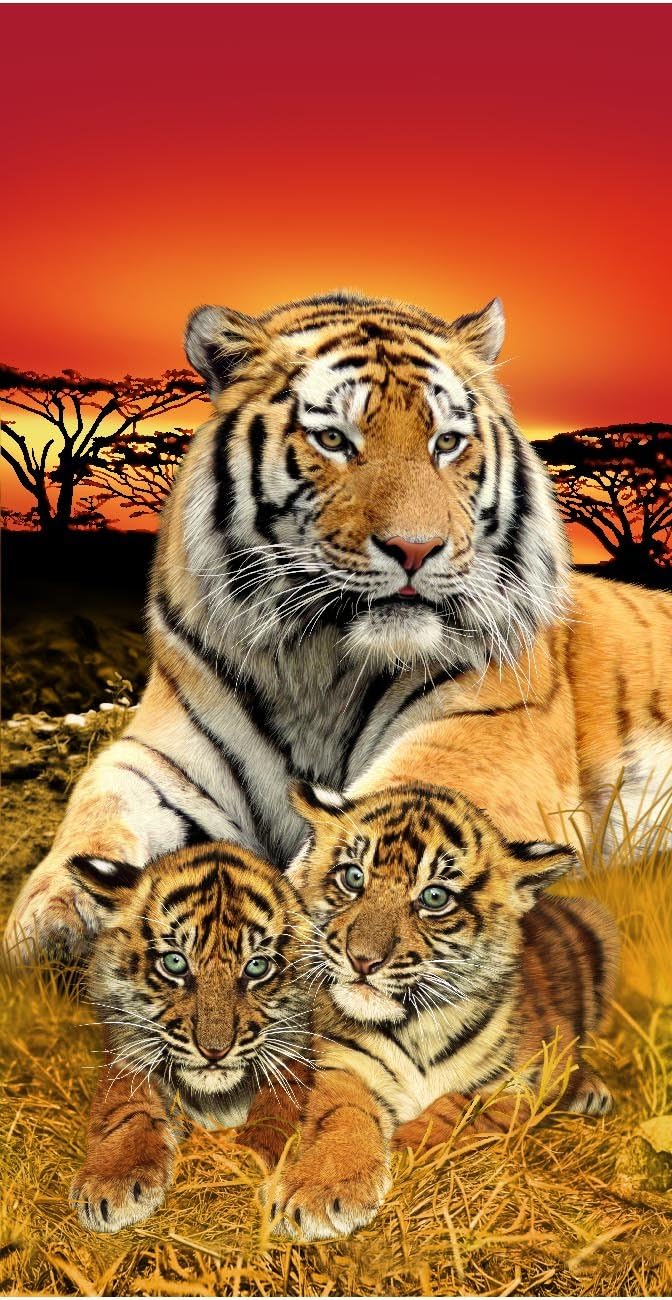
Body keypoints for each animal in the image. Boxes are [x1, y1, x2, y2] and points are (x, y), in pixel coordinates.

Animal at [5, 290, 672, 961]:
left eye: (447, 442)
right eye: (332, 439)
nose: (414, 548)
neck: (318, 662)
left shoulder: (485, 737)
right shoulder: (160, 755)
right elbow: (98, 809)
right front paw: (52, 920)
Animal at [66, 843, 313, 1233]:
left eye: (257, 967)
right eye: (175, 963)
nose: (214, 1051)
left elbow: (279, 1105)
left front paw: (251, 1161)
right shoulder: (126, 1054)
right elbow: (127, 1108)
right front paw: (112, 1181)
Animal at [267, 780, 620, 1242]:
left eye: (434, 897)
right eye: (353, 877)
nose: (362, 960)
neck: (417, 1025)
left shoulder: (528, 1073)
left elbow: (461, 1105)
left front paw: (405, 1141)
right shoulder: (346, 1066)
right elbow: (343, 1116)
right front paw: (318, 1191)